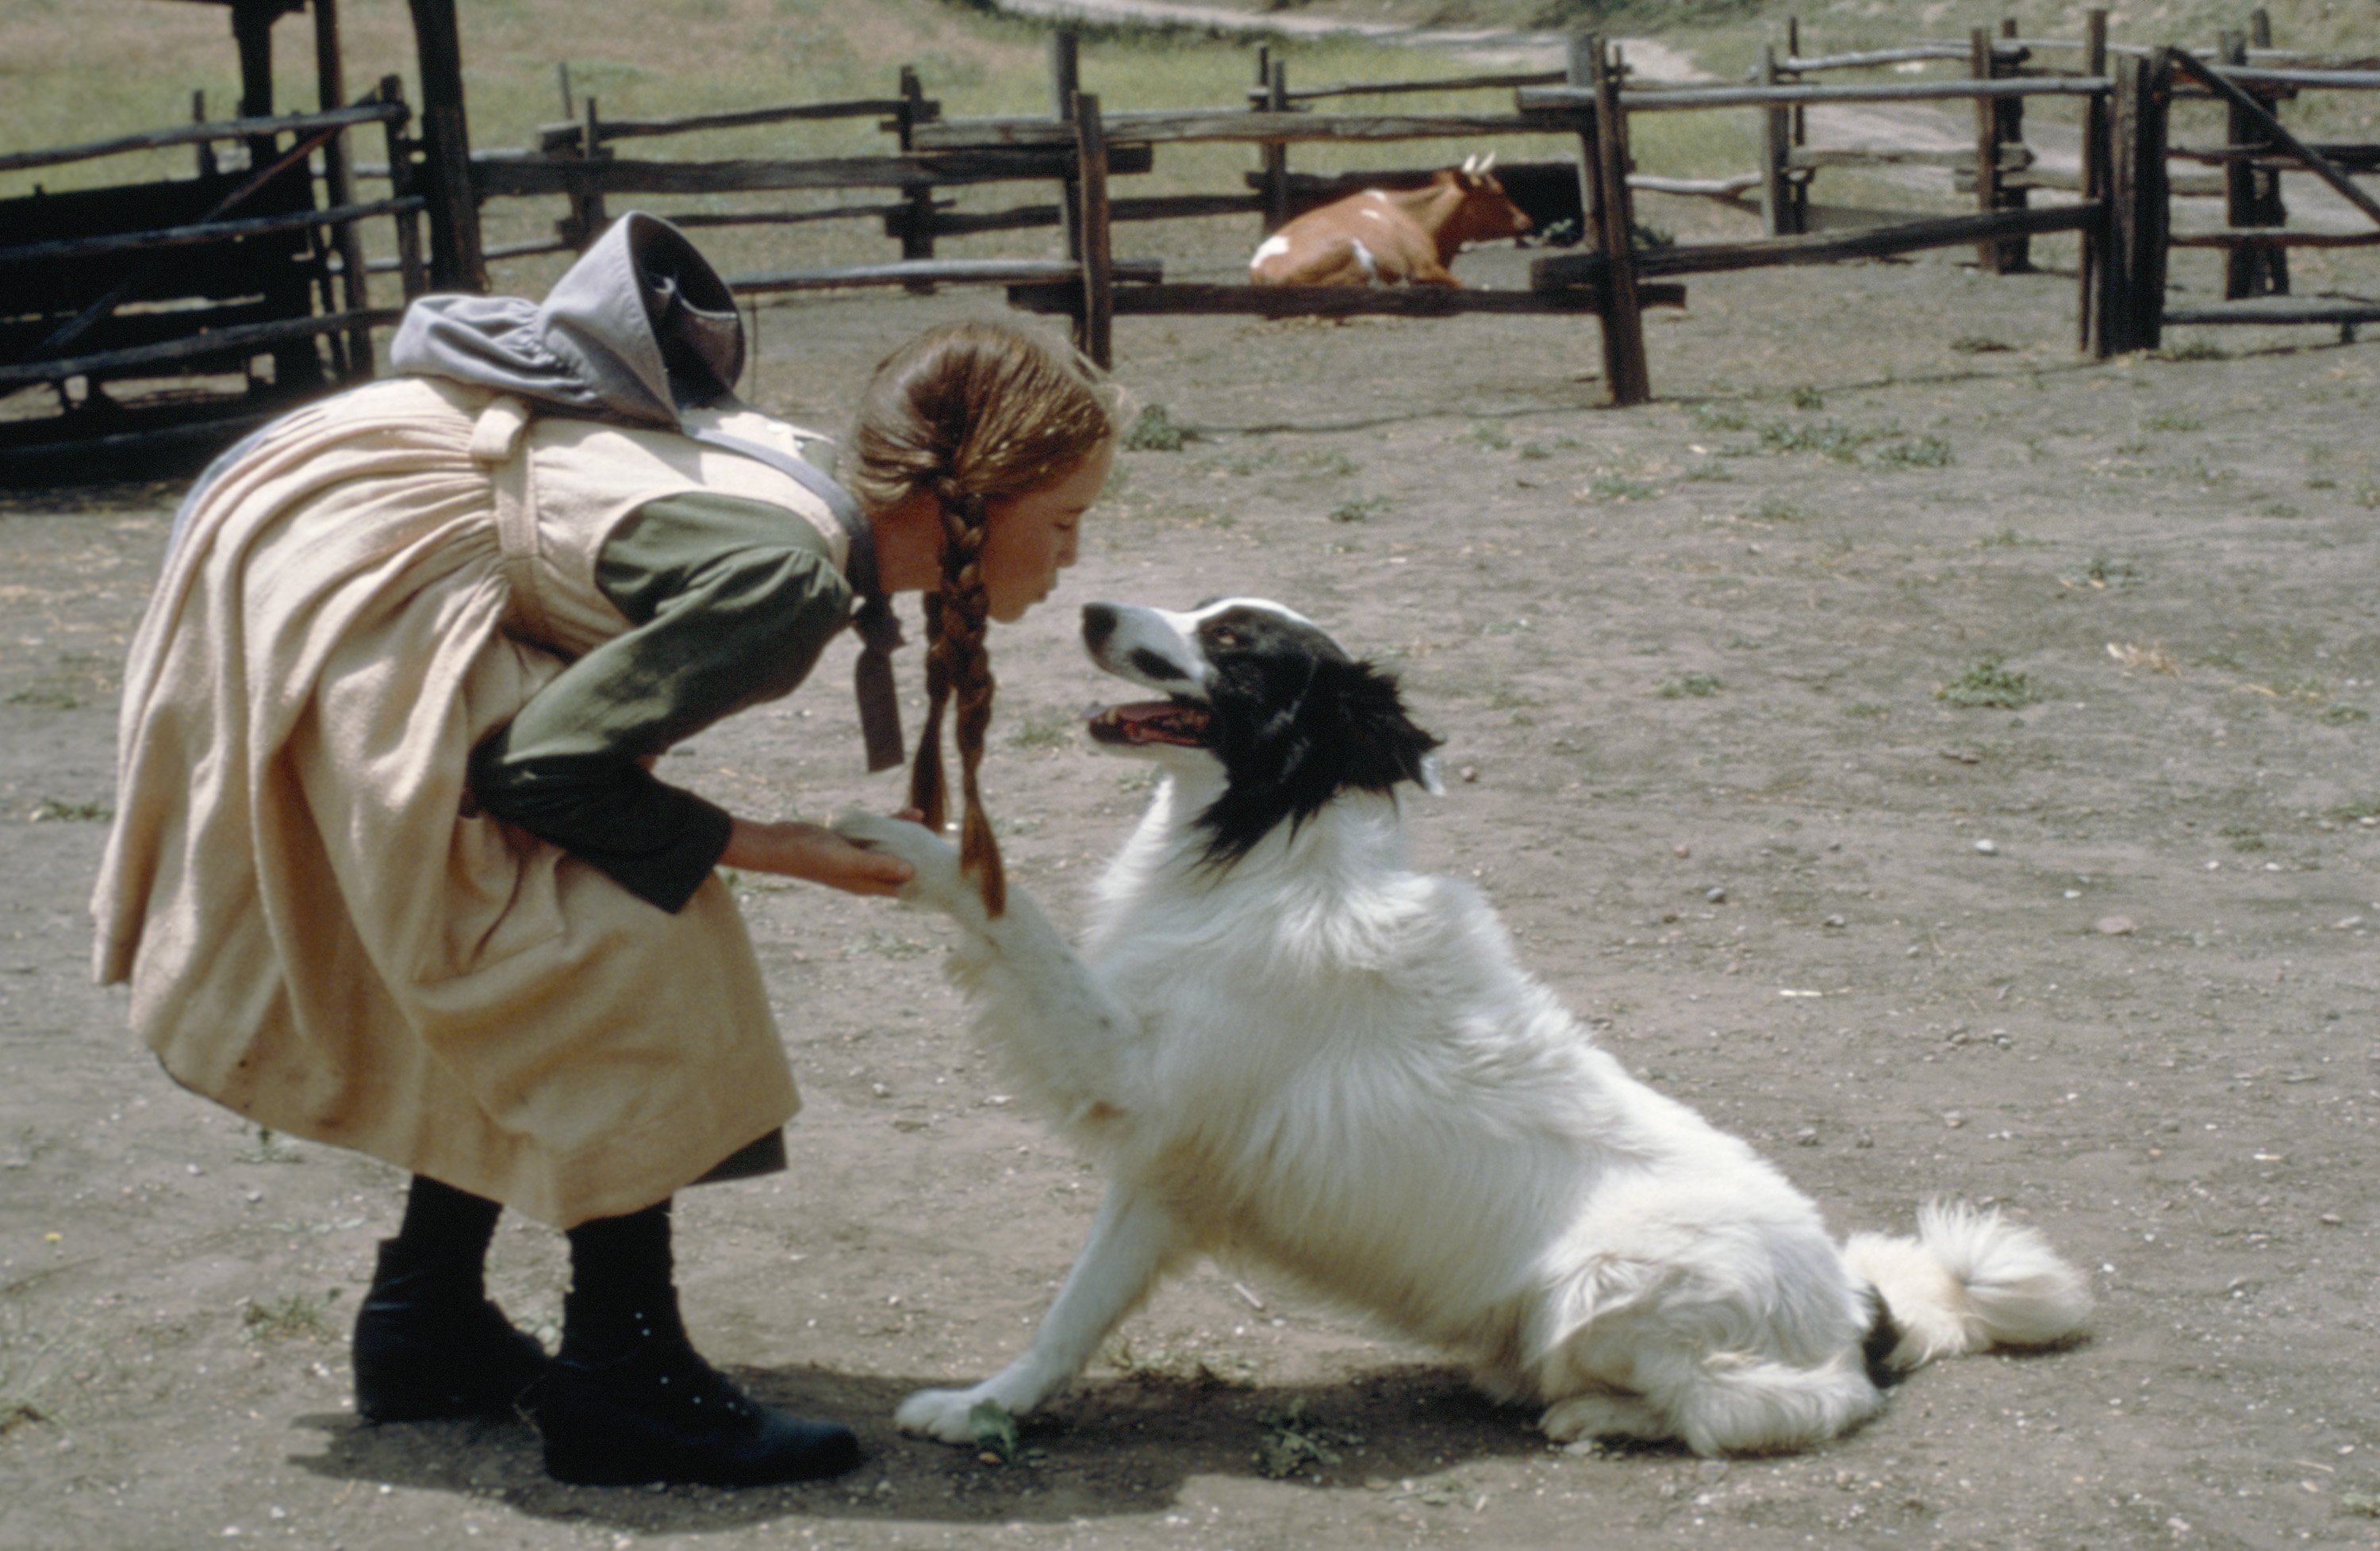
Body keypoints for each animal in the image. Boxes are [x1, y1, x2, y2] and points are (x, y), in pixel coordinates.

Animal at [838, 594, 2085, 1456]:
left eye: (1232, 641)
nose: (1092, 608)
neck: (1269, 846)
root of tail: (1860, 1306)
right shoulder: (1160, 1177)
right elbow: (1069, 1313)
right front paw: (980, 1408)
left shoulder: (1136, 1076)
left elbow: (1009, 912)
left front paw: (908, 841)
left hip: (1608, 1280)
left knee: (1776, 1404)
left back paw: (1592, 1414)